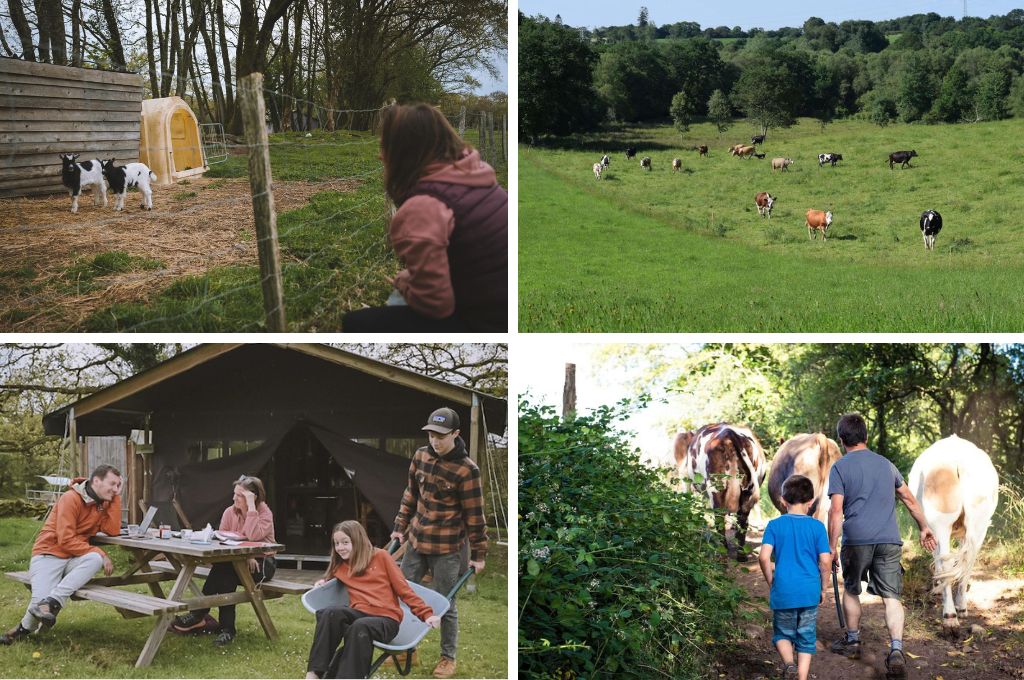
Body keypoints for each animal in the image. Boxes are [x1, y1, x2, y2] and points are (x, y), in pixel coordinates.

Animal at [684, 421, 765, 561]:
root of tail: (729, 434)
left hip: (716, 488)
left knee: (719, 520)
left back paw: (722, 551)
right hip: (747, 490)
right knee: (743, 520)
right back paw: (741, 554)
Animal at [909, 436, 995, 639]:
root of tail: (958, 461)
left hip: (941, 522)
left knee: (947, 562)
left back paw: (950, 617)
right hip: (978, 525)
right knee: (967, 560)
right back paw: (958, 611)